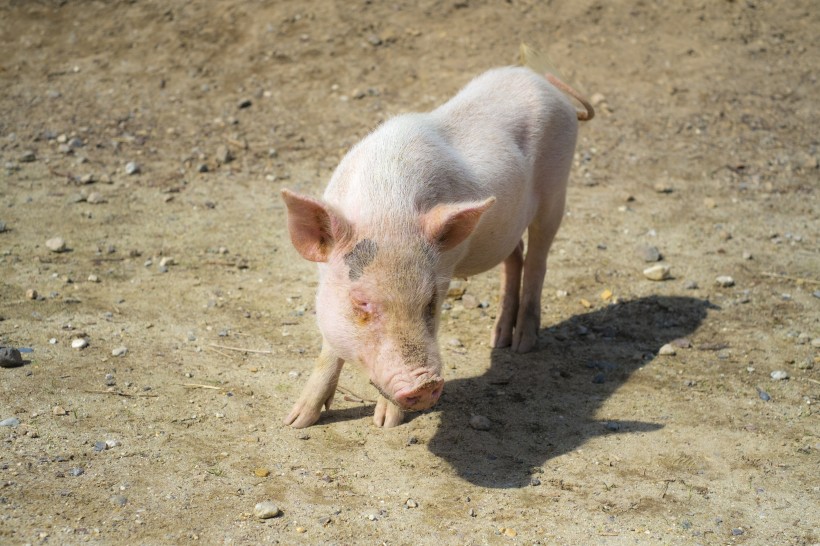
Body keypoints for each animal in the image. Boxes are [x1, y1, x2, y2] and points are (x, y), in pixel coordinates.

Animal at [278, 66, 592, 428]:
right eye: (361, 303)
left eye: (431, 302)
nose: (425, 385)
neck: (386, 208)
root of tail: (540, 79)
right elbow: (329, 347)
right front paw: (296, 421)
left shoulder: (443, 271)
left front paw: (387, 423)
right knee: (515, 257)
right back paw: (498, 341)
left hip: (556, 193)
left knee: (538, 260)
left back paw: (522, 346)